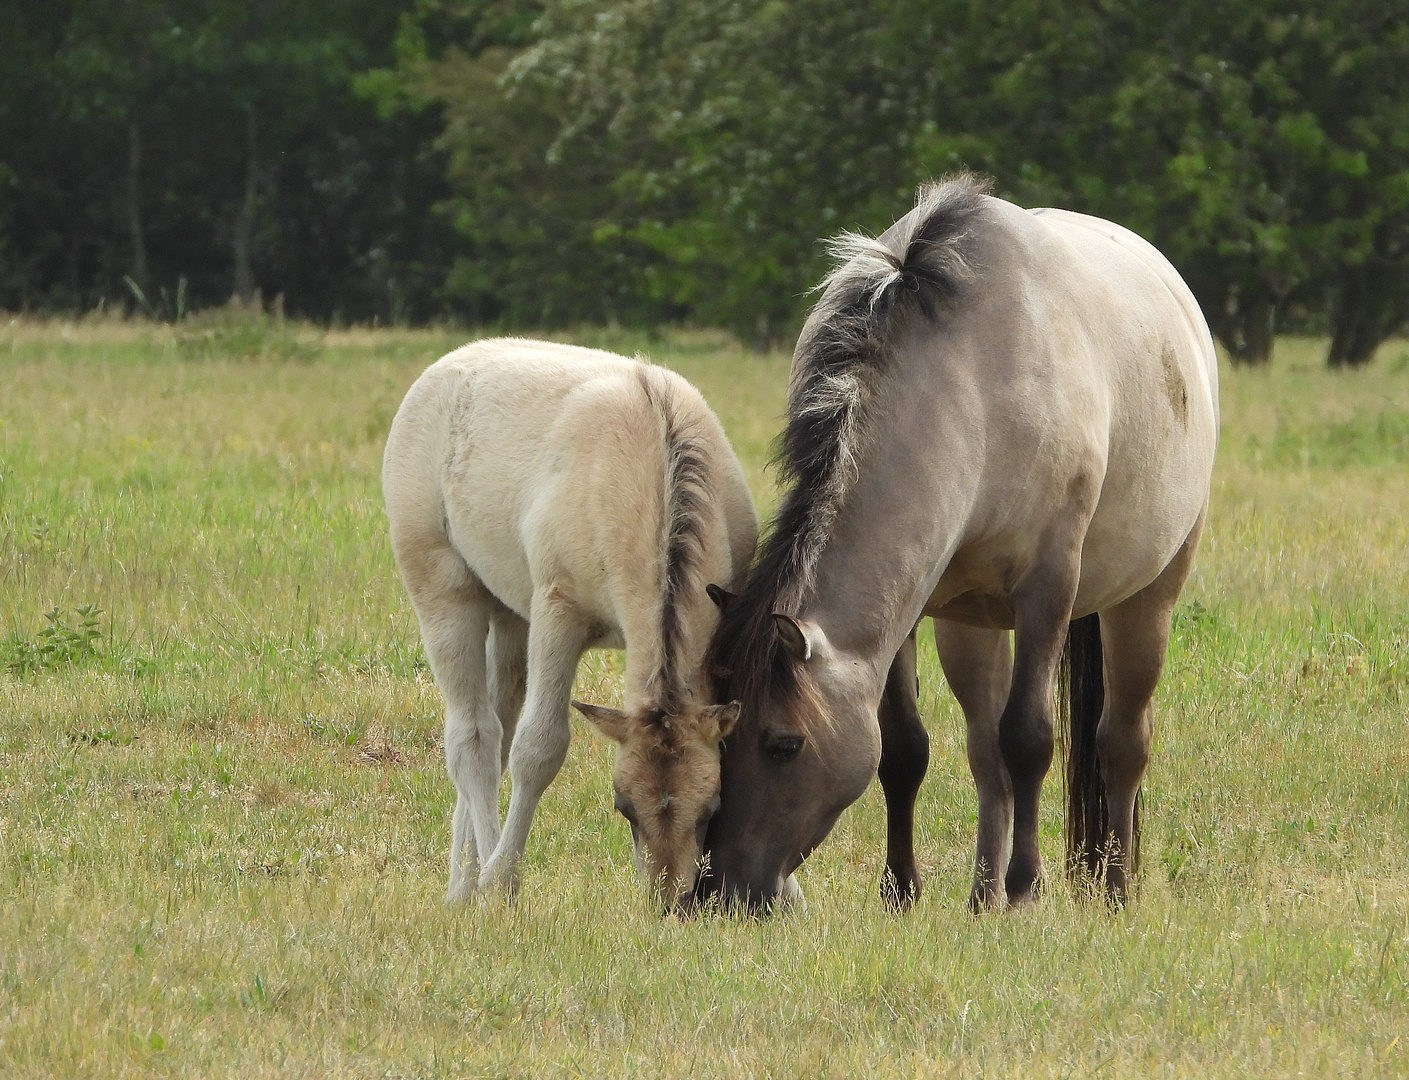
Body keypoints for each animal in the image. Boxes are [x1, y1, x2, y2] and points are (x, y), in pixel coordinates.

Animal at [383, 335, 760, 901]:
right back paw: (477, 882)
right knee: (474, 738)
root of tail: (443, 367)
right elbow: (538, 748)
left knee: (496, 725)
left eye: (711, 808)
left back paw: (461, 887)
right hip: (443, 591)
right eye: (623, 808)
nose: (668, 902)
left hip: (510, 614)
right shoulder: (558, 614)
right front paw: (502, 882)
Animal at [698, 177, 1217, 912]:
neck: (971, 377)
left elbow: (1029, 739)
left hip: (1146, 598)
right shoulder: (911, 604)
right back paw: (981, 895)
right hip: (970, 625)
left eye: (783, 745)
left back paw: (1111, 889)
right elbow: (904, 750)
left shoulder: (1047, 591)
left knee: (1119, 742)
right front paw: (901, 890)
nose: (722, 891)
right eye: (716, 736)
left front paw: (1026, 888)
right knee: (983, 755)